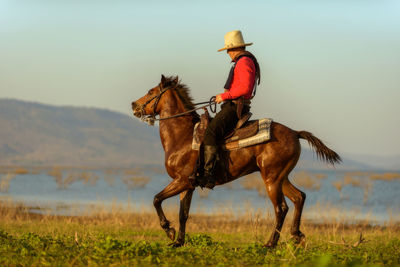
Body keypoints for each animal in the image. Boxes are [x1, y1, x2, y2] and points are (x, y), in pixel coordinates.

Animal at [131, 74, 340, 248]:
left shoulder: (181, 181)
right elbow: (183, 214)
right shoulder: (187, 185)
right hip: (281, 177)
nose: (133, 105)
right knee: (299, 197)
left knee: (281, 208)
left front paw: (169, 230)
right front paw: (178, 242)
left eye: (151, 92)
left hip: (272, 179)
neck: (182, 136)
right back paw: (296, 235)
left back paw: (270, 244)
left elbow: (157, 199)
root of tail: (295, 133)